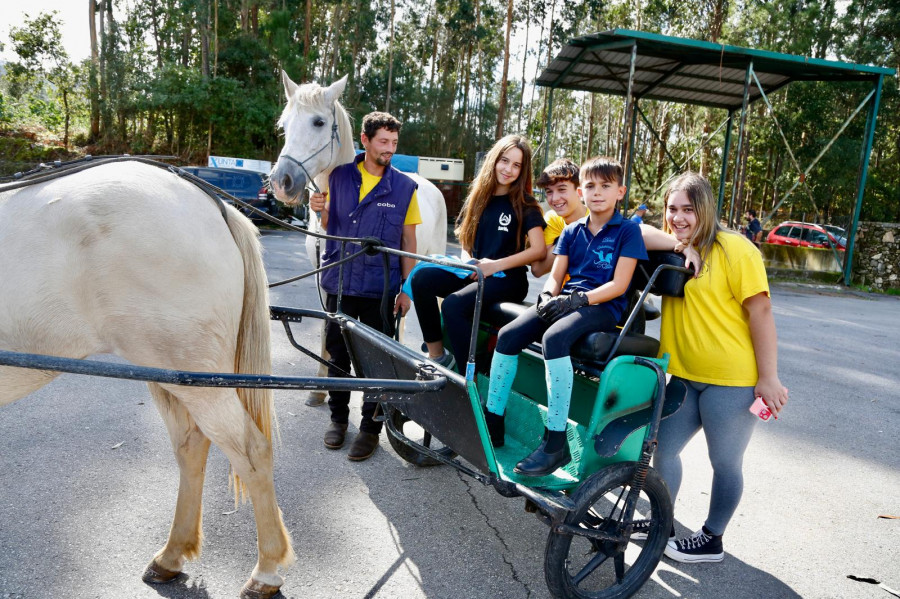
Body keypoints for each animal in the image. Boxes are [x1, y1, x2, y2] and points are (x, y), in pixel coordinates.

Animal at [0, 162, 294, 596]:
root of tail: (212, 202)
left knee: (252, 452)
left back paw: (266, 570)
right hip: (169, 371)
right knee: (192, 446)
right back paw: (171, 556)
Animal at [268, 72, 448, 406]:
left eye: (318, 122)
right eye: (284, 125)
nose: (280, 182)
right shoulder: (325, 275)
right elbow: (328, 323)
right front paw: (319, 387)